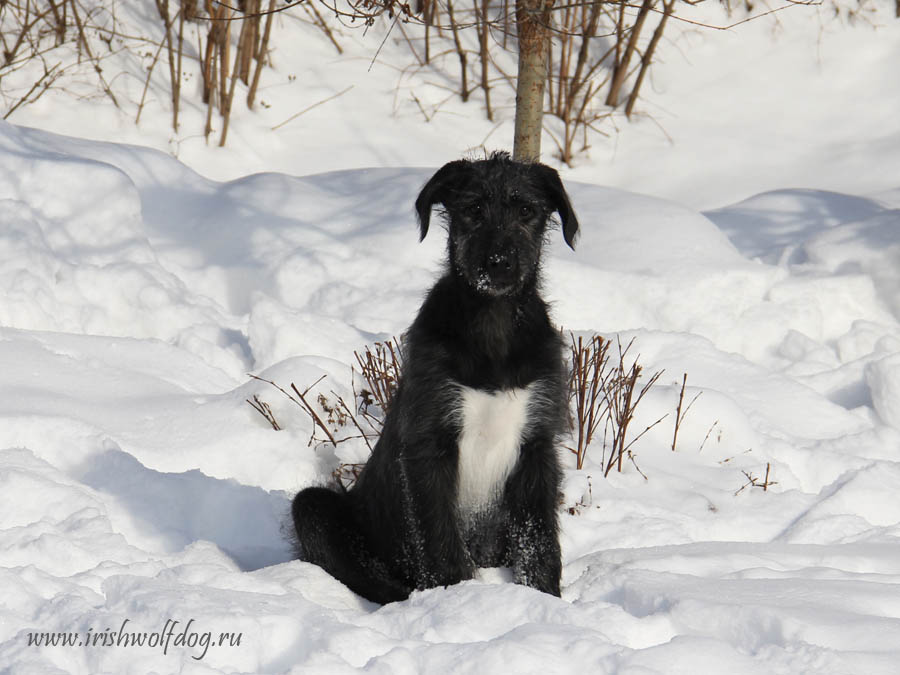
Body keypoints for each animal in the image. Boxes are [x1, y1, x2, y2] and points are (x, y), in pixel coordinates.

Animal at [292, 152, 580, 604]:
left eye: (526, 211)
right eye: (473, 210)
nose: (498, 264)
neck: (494, 323)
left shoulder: (537, 445)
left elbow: (539, 541)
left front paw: (544, 600)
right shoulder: (429, 445)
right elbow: (441, 540)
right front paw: (456, 601)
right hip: (313, 508)